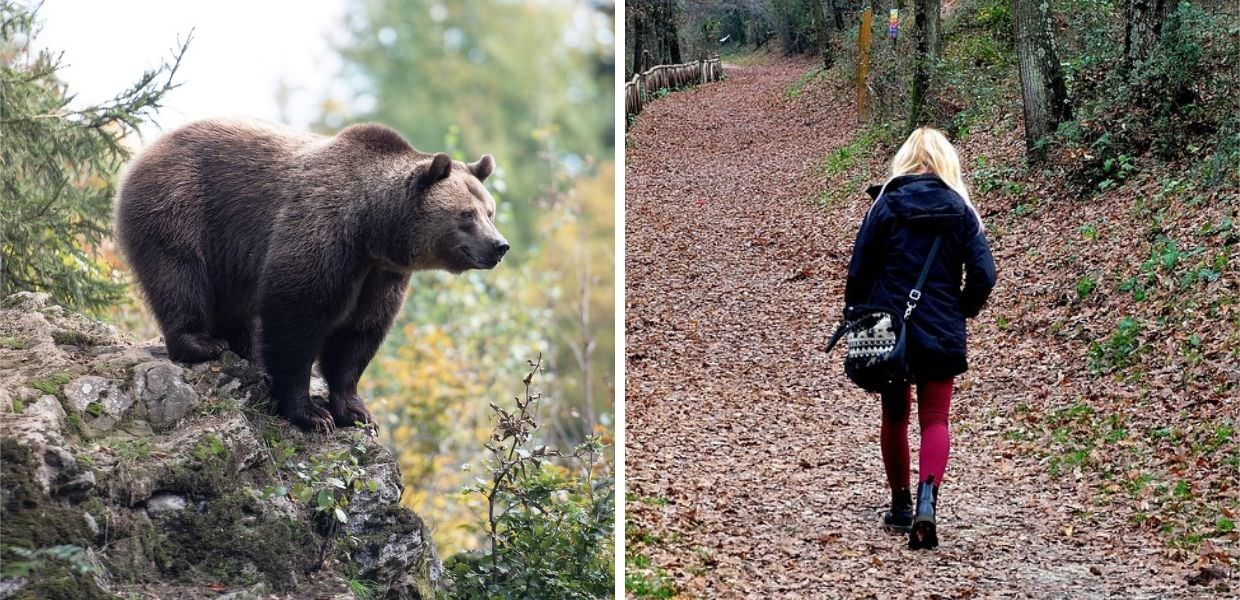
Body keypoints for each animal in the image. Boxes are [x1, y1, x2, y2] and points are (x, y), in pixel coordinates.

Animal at [115, 118, 508, 432]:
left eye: (490, 212)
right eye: (466, 214)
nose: (499, 246)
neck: (372, 229)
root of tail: (147, 149)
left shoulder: (381, 275)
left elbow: (358, 334)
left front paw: (357, 411)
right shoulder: (323, 233)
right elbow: (297, 317)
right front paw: (312, 414)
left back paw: (245, 348)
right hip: (182, 205)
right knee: (179, 274)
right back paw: (201, 342)